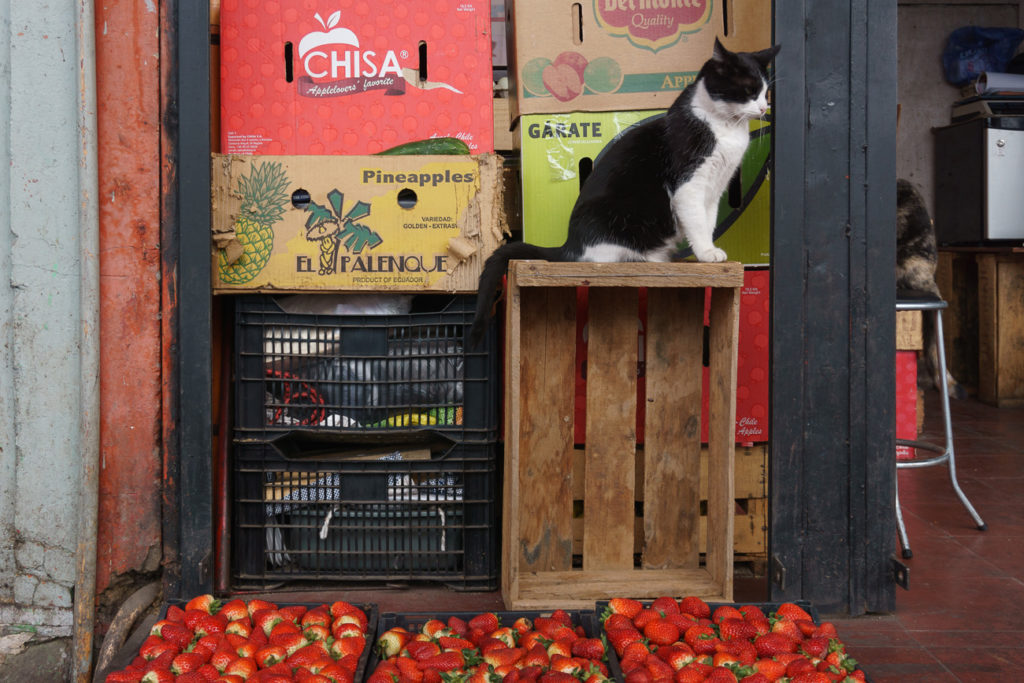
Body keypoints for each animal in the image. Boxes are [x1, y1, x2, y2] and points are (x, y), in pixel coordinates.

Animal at [468, 38, 778, 348]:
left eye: (766, 92)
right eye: (749, 91)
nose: (764, 108)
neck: (724, 127)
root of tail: (569, 244)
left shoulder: (715, 187)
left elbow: (708, 220)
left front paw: (709, 248)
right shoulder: (690, 183)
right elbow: (697, 222)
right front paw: (706, 253)